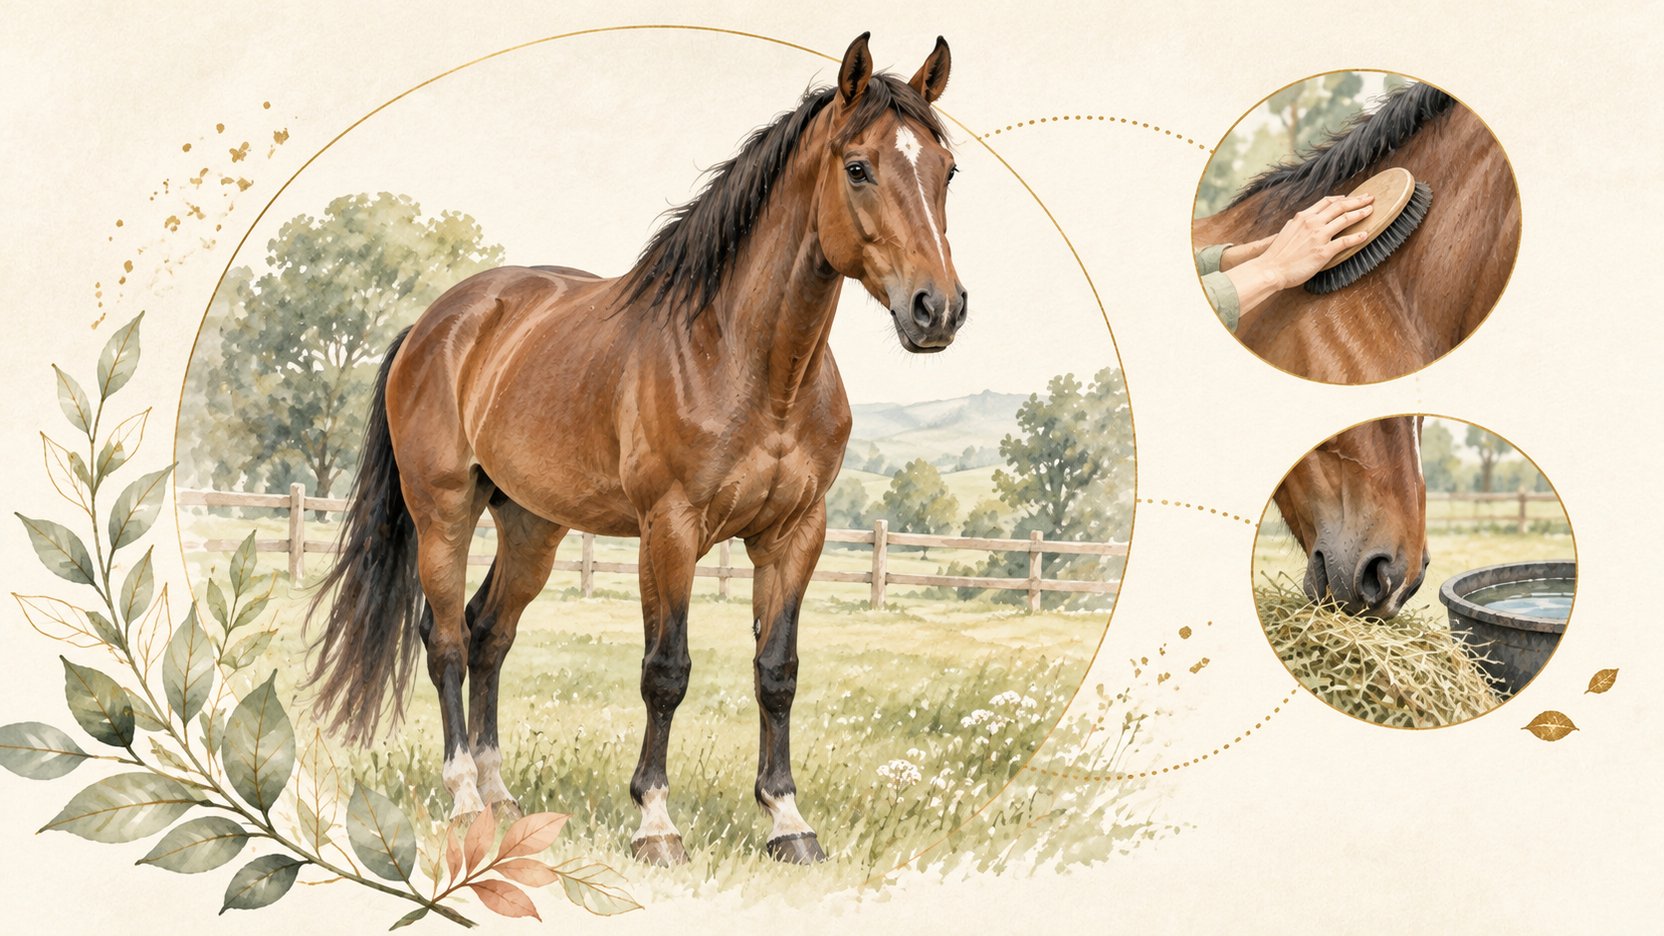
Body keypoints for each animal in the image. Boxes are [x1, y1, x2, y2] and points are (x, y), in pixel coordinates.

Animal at [304, 34, 966, 866]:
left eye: (947, 170)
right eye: (858, 167)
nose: (936, 309)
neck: (746, 362)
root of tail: (436, 322)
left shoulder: (795, 535)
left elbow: (776, 672)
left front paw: (788, 821)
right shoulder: (670, 530)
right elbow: (666, 671)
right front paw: (656, 823)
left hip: (532, 524)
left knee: (490, 634)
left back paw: (500, 795)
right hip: (444, 513)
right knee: (448, 639)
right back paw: (462, 798)